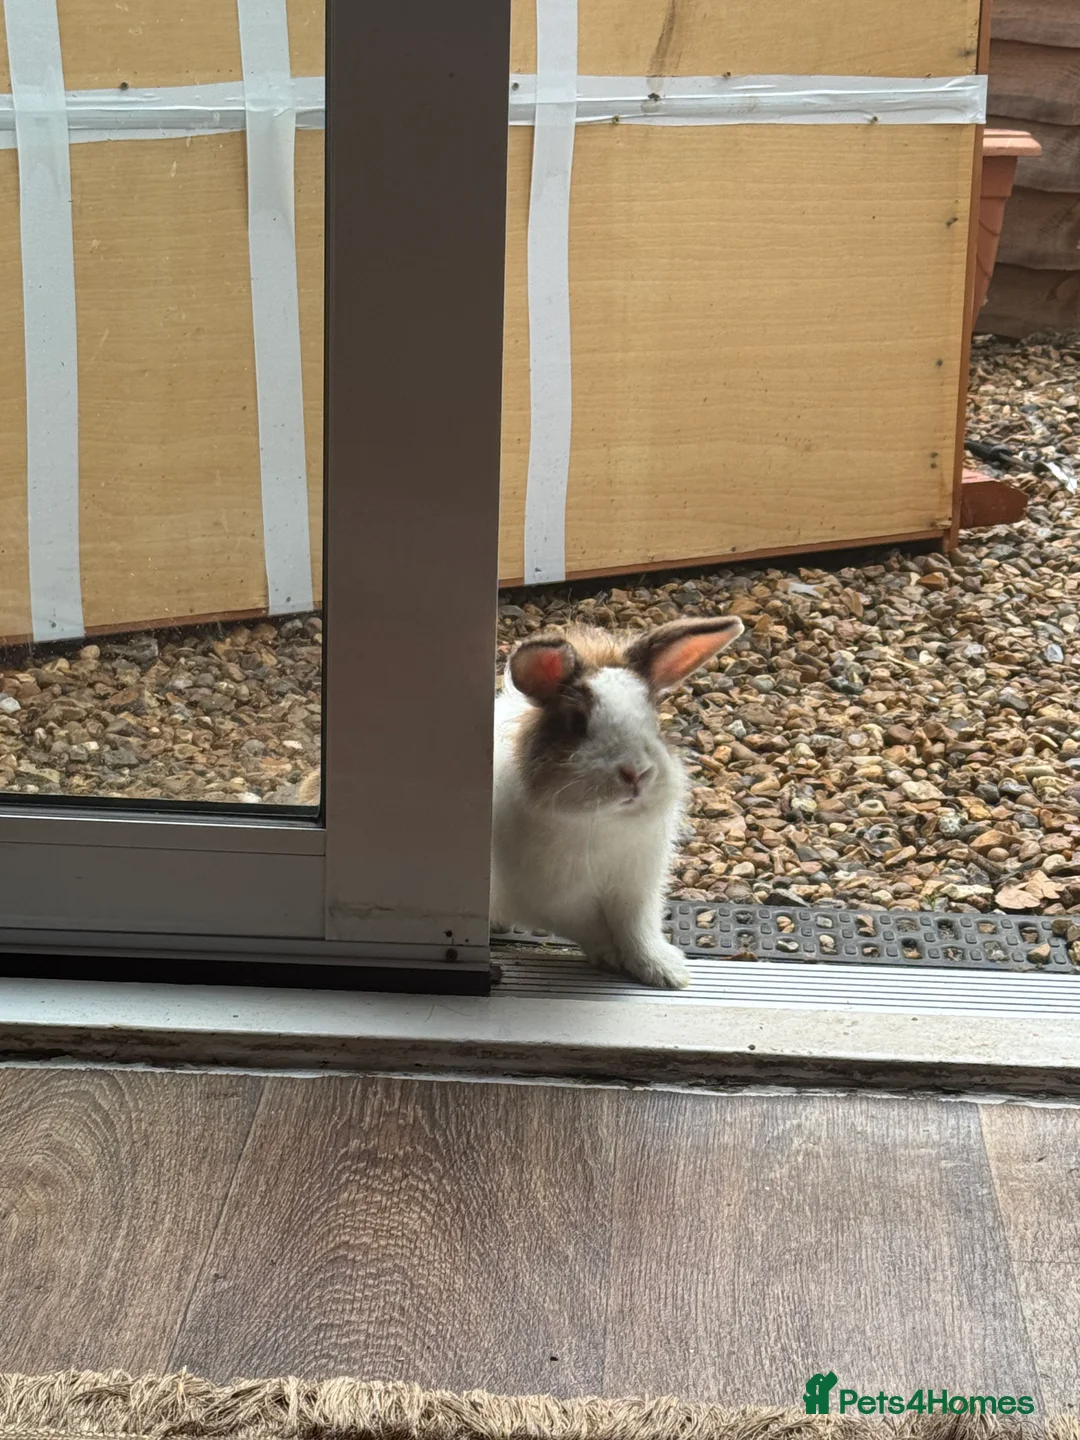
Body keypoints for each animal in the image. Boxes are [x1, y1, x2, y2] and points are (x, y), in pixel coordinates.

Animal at [492, 615, 743, 989]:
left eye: (654, 720)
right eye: (577, 722)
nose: (635, 773)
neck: (605, 822)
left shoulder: (638, 889)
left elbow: (638, 930)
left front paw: (665, 971)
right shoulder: (554, 899)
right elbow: (592, 929)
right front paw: (612, 958)